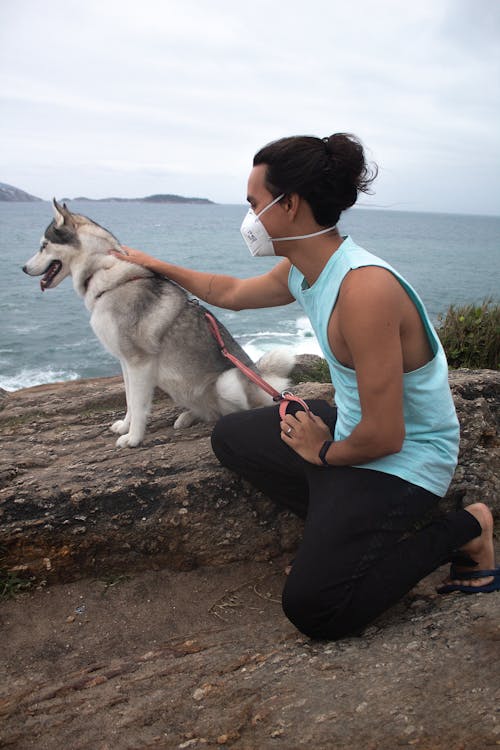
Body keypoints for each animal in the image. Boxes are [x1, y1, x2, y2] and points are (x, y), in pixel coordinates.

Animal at [23, 201, 294, 446]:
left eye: (43, 246)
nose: (23, 268)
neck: (101, 271)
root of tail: (263, 379)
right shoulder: (125, 362)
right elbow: (130, 400)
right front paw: (126, 426)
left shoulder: (139, 362)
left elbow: (138, 404)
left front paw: (133, 438)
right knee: (210, 412)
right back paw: (188, 417)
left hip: (228, 382)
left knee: (237, 410)